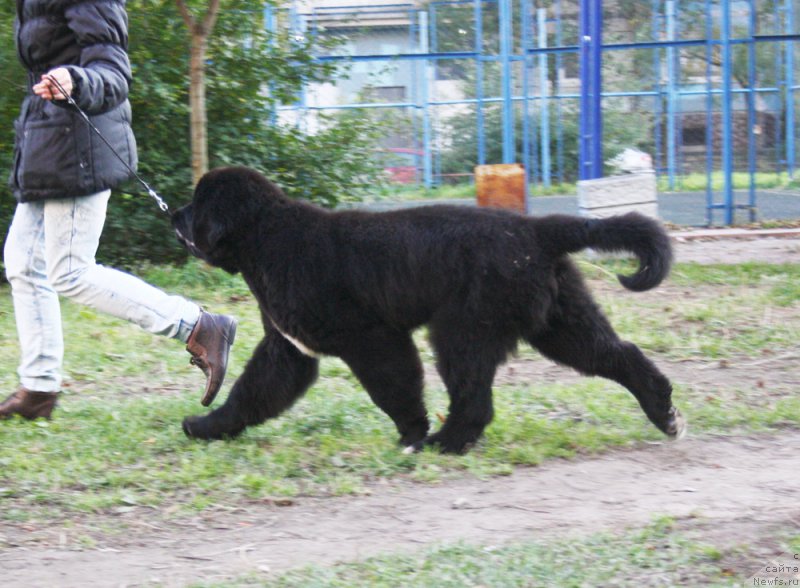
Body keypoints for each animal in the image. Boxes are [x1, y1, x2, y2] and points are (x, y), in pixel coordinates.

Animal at [172, 165, 684, 454]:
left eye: (196, 203)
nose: (172, 214)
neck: (266, 236)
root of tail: (536, 230)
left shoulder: (371, 337)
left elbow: (395, 388)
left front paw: (413, 434)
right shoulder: (289, 349)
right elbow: (251, 393)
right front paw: (207, 426)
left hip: (463, 329)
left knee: (474, 399)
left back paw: (445, 442)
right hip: (561, 322)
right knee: (620, 355)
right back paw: (664, 413)